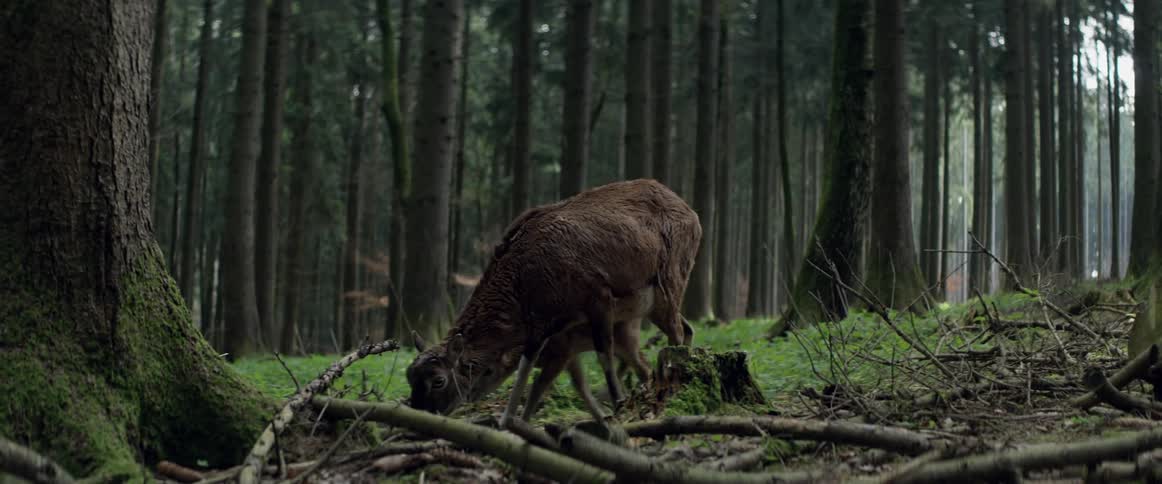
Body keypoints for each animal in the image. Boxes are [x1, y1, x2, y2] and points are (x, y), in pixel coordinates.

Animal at [405, 179, 701, 429]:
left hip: (671, 277)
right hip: (655, 304)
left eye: (439, 380)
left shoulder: (598, 296)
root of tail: (692, 214)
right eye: (410, 377)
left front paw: (618, 406)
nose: (422, 414)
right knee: (686, 328)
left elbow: (603, 353)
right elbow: (528, 371)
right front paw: (508, 422)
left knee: (675, 332)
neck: (526, 286)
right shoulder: (542, 327)